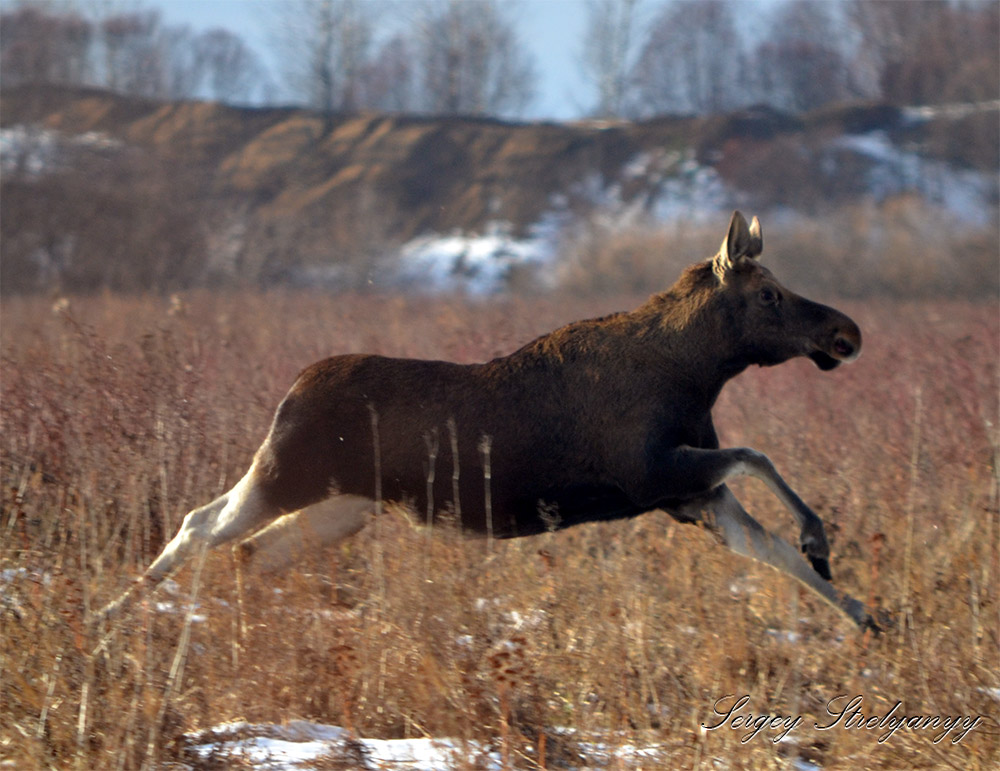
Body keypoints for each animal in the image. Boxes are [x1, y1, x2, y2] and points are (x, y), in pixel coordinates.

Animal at [99, 213, 884, 632]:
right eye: (771, 295)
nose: (846, 333)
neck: (698, 372)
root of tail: (290, 390)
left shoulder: (687, 494)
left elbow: (770, 548)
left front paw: (863, 611)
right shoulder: (653, 471)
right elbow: (760, 458)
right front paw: (821, 540)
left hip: (343, 506)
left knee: (250, 553)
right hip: (286, 472)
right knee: (202, 523)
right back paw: (111, 619)